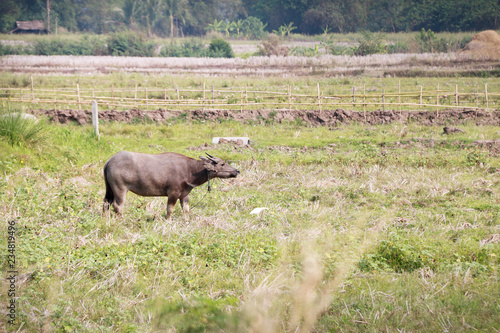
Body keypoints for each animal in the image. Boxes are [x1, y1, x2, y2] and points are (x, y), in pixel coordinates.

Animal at [102, 150, 239, 218]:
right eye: (222, 164)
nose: (237, 171)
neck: (190, 170)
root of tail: (109, 161)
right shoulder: (173, 193)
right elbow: (170, 210)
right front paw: (168, 221)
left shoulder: (184, 195)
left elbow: (186, 210)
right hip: (120, 189)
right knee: (117, 205)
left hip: (109, 189)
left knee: (106, 203)